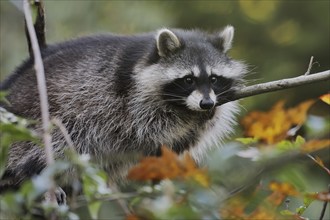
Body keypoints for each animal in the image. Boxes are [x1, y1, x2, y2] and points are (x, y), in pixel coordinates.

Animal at [0, 25, 246, 189]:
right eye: (188, 80)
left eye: (214, 79)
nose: (206, 103)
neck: (146, 56)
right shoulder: (128, 98)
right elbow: (149, 128)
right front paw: (187, 120)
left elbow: (174, 144)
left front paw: (207, 117)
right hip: (39, 112)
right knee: (54, 141)